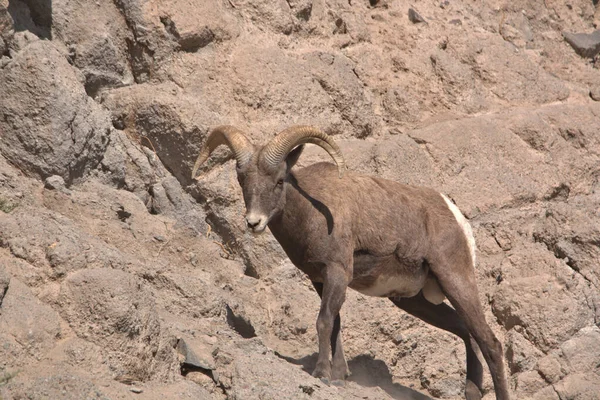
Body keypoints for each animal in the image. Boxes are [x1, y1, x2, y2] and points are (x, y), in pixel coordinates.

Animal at [193, 126, 510, 400]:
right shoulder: (321, 279)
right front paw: (339, 376)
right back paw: (471, 393)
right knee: (466, 332)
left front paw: (321, 373)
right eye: (242, 181)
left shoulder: (337, 272)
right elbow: (335, 323)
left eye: (279, 181)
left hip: (455, 280)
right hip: (414, 300)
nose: (254, 222)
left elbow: (324, 320)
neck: (312, 214)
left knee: (490, 343)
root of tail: (454, 214)